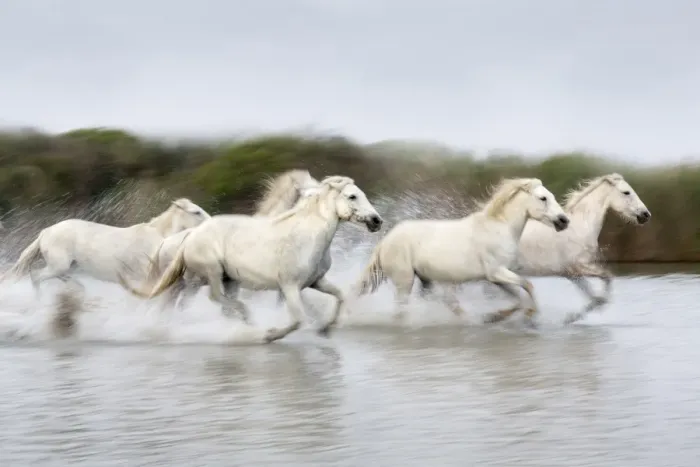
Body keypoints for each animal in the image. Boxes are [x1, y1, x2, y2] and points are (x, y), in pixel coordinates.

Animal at [0, 198, 210, 296]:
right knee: (36, 277)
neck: (159, 240)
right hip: (58, 266)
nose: (212, 223)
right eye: (196, 212)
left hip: (67, 268)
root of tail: (46, 232)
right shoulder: (147, 278)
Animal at [351, 178, 570, 327]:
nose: (564, 220)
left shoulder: (496, 277)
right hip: (404, 281)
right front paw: (529, 315)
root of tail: (384, 242)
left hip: (427, 280)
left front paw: (492, 317)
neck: (500, 227)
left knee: (448, 304)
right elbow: (528, 286)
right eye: (543, 198)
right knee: (401, 311)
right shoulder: (497, 272)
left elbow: (519, 296)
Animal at [482, 173, 651, 323]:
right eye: (626, 192)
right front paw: (571, 318)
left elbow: (594, 295)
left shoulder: (571, 273)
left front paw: (572, 317)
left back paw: (498, 316)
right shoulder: (577, 267)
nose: (646, 214)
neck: (581, 227)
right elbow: (607, 279)